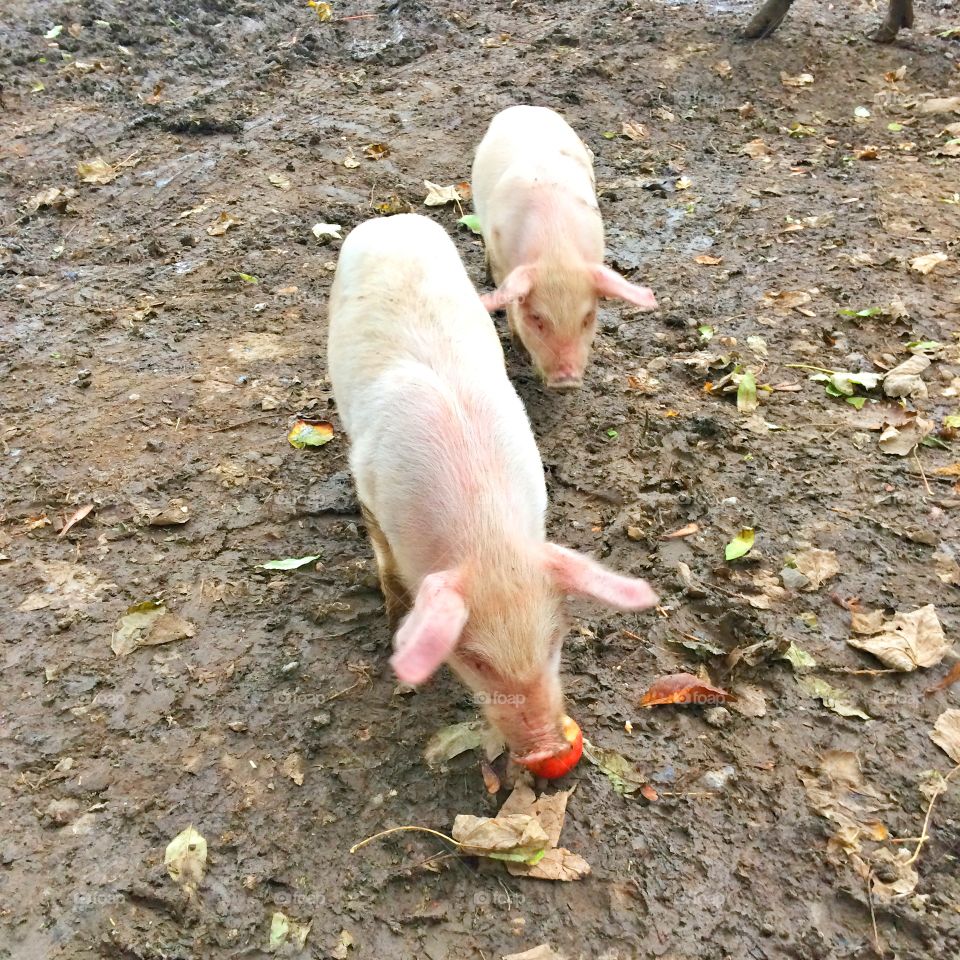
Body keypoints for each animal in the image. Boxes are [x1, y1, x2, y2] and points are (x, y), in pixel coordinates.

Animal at [327, 214, 658, 764]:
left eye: (555, 641)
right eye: (476, 662)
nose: (546, 749)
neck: (486, 537)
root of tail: (390, 220)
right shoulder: (369, 490)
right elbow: (386, 566)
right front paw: (394, 627)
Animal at [471, 104, 658, 390]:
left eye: (588, 317)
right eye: (537, 318)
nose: (567, 380)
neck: (555, 252)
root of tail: (524, 108)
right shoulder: (504, 261)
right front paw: (521, 354)